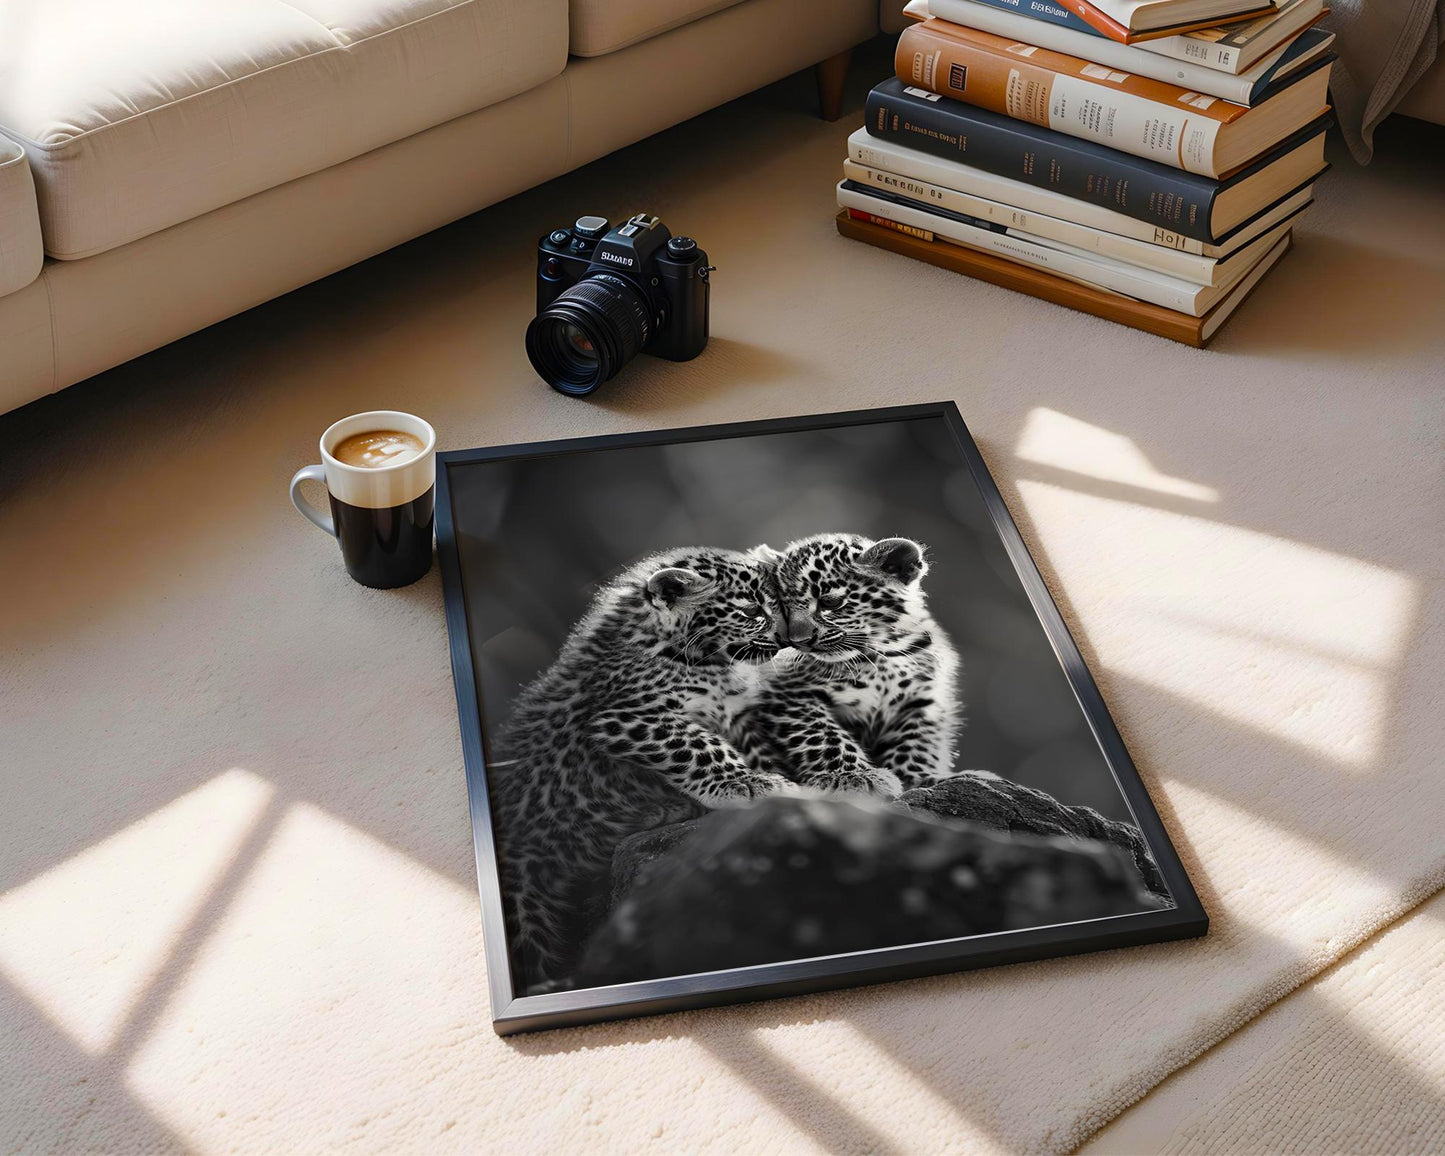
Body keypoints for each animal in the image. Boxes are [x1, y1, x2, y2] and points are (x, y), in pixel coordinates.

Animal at [489, 545, 796, 991]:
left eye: (780, 604)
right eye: (751, 610)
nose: (786, 638)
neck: (709, 662)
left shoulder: (736, 713)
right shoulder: (627, 719)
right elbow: (699, 746)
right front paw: (747, 783)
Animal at [744, 533, 963, 797]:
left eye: (831, 603)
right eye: (784, 609)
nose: (799, 641)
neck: (877, 655)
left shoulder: (922, 699)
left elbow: (917, 740)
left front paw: (919, 777)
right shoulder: (787, 694)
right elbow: (823, 735)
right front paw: (853, 775)